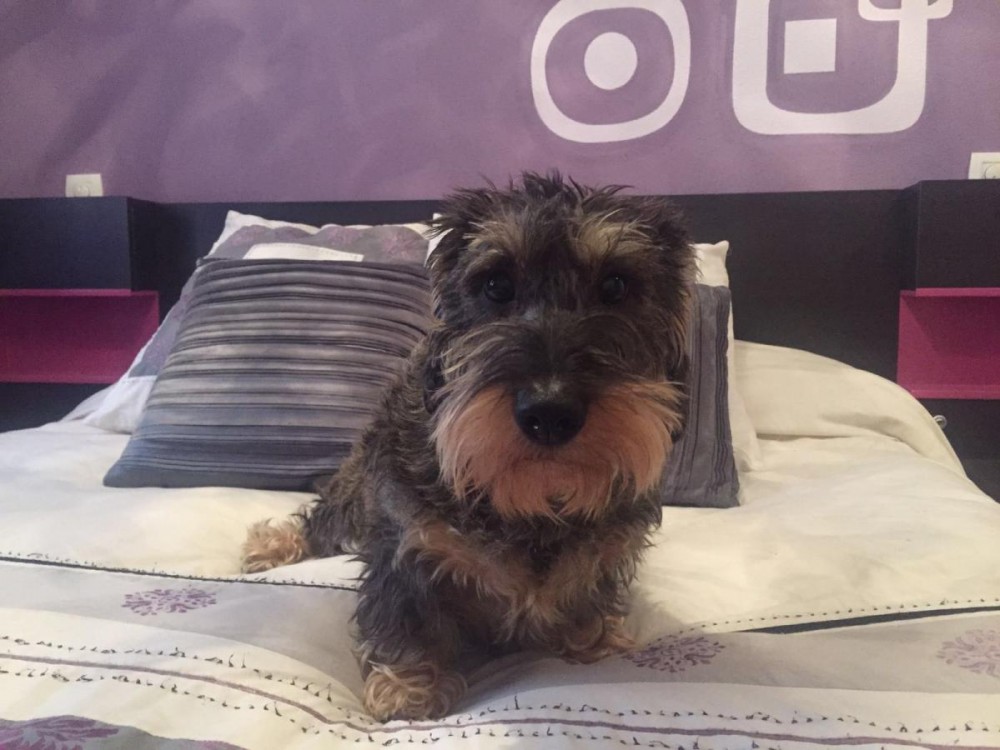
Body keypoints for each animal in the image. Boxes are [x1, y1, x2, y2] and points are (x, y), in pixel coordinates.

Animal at [241, 172, 695, 721]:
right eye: (496, 285)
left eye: (616, 286)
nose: (550, 413)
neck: (533, 505)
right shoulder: (405, 541)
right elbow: (406, 613)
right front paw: (407, 688)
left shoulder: (609, 547)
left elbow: (589, 588)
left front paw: (594, 637)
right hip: (354, 494)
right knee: (321, 522)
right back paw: (273, 545)